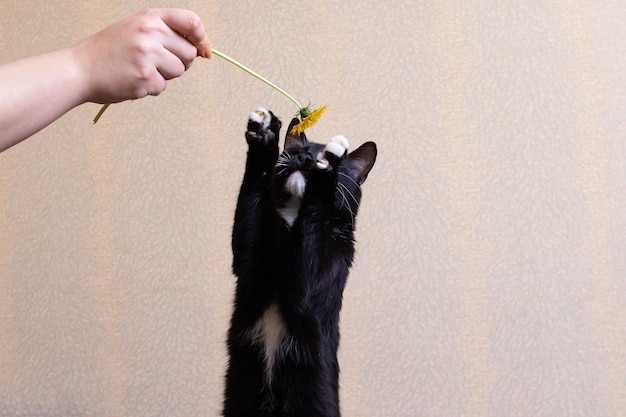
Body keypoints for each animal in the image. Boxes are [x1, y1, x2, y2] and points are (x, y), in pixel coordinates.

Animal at [222, 109, 372, 414]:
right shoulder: (249, 266)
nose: (306, 159)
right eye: (297, 150)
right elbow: (253, 196)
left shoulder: (325, 268)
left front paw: (328, 164)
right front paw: (265, 134)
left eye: (310, 154)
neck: (293, 220)